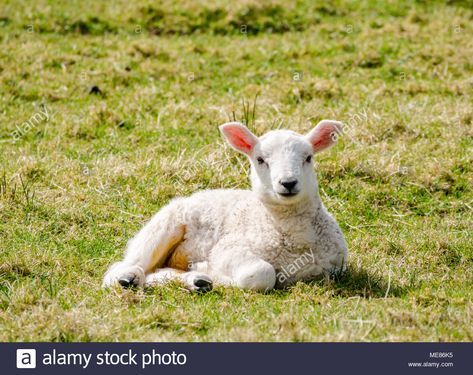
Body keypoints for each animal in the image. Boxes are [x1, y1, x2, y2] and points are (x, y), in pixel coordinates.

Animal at [103, 120, 346, 294]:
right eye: (260, 160)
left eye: (308, 157)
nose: (288, 183)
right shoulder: (228, 249)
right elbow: (261, 273)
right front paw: (209, 272)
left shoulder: (333, 267)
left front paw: (202, 276)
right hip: (161, 229)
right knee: (123, 268)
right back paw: (127, 279)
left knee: (156, 273)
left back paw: (195, 282)